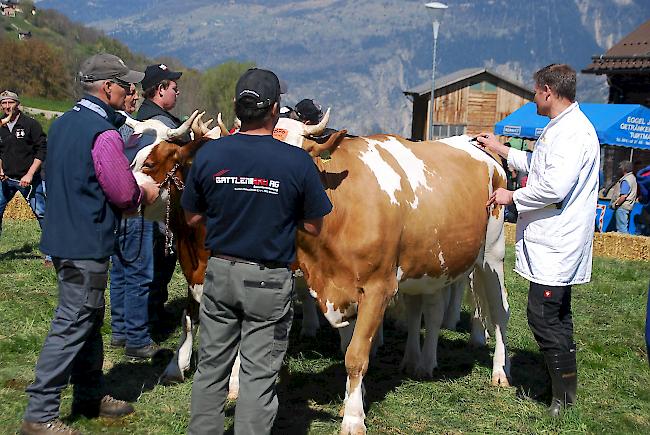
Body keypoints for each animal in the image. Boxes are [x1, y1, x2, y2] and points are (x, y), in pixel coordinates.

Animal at [274, 116, 506, 435]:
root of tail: (475, 145)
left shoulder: (377, 288)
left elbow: (357, 356)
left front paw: (353, 419)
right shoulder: (341, 290)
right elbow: (348, 348)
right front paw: (353, 400)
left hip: (492, 254)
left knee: (500, 311)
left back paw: (499, 373)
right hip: (428, 265)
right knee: (427, 313)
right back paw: (419, 363)